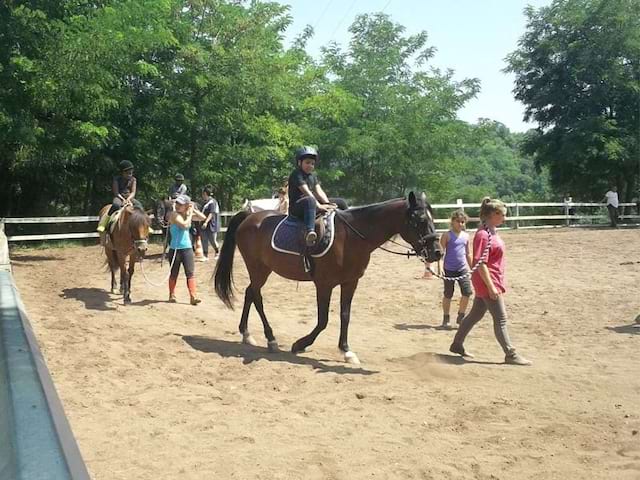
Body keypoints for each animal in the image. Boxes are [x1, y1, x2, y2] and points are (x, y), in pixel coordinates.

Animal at [212, 191, 442, 364]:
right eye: (421, 220)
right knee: (257, 296)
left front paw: (346, 350)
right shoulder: (324, 284)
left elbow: (345, 315)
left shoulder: (350, 282)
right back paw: (270, 339)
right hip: (257, 268)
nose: (437, 252)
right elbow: (323, 320)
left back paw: (246, 333)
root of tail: (249, 217)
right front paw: (300, 344)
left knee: (250, 293)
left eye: (432, 219)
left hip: (263, 269)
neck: (351, 238)